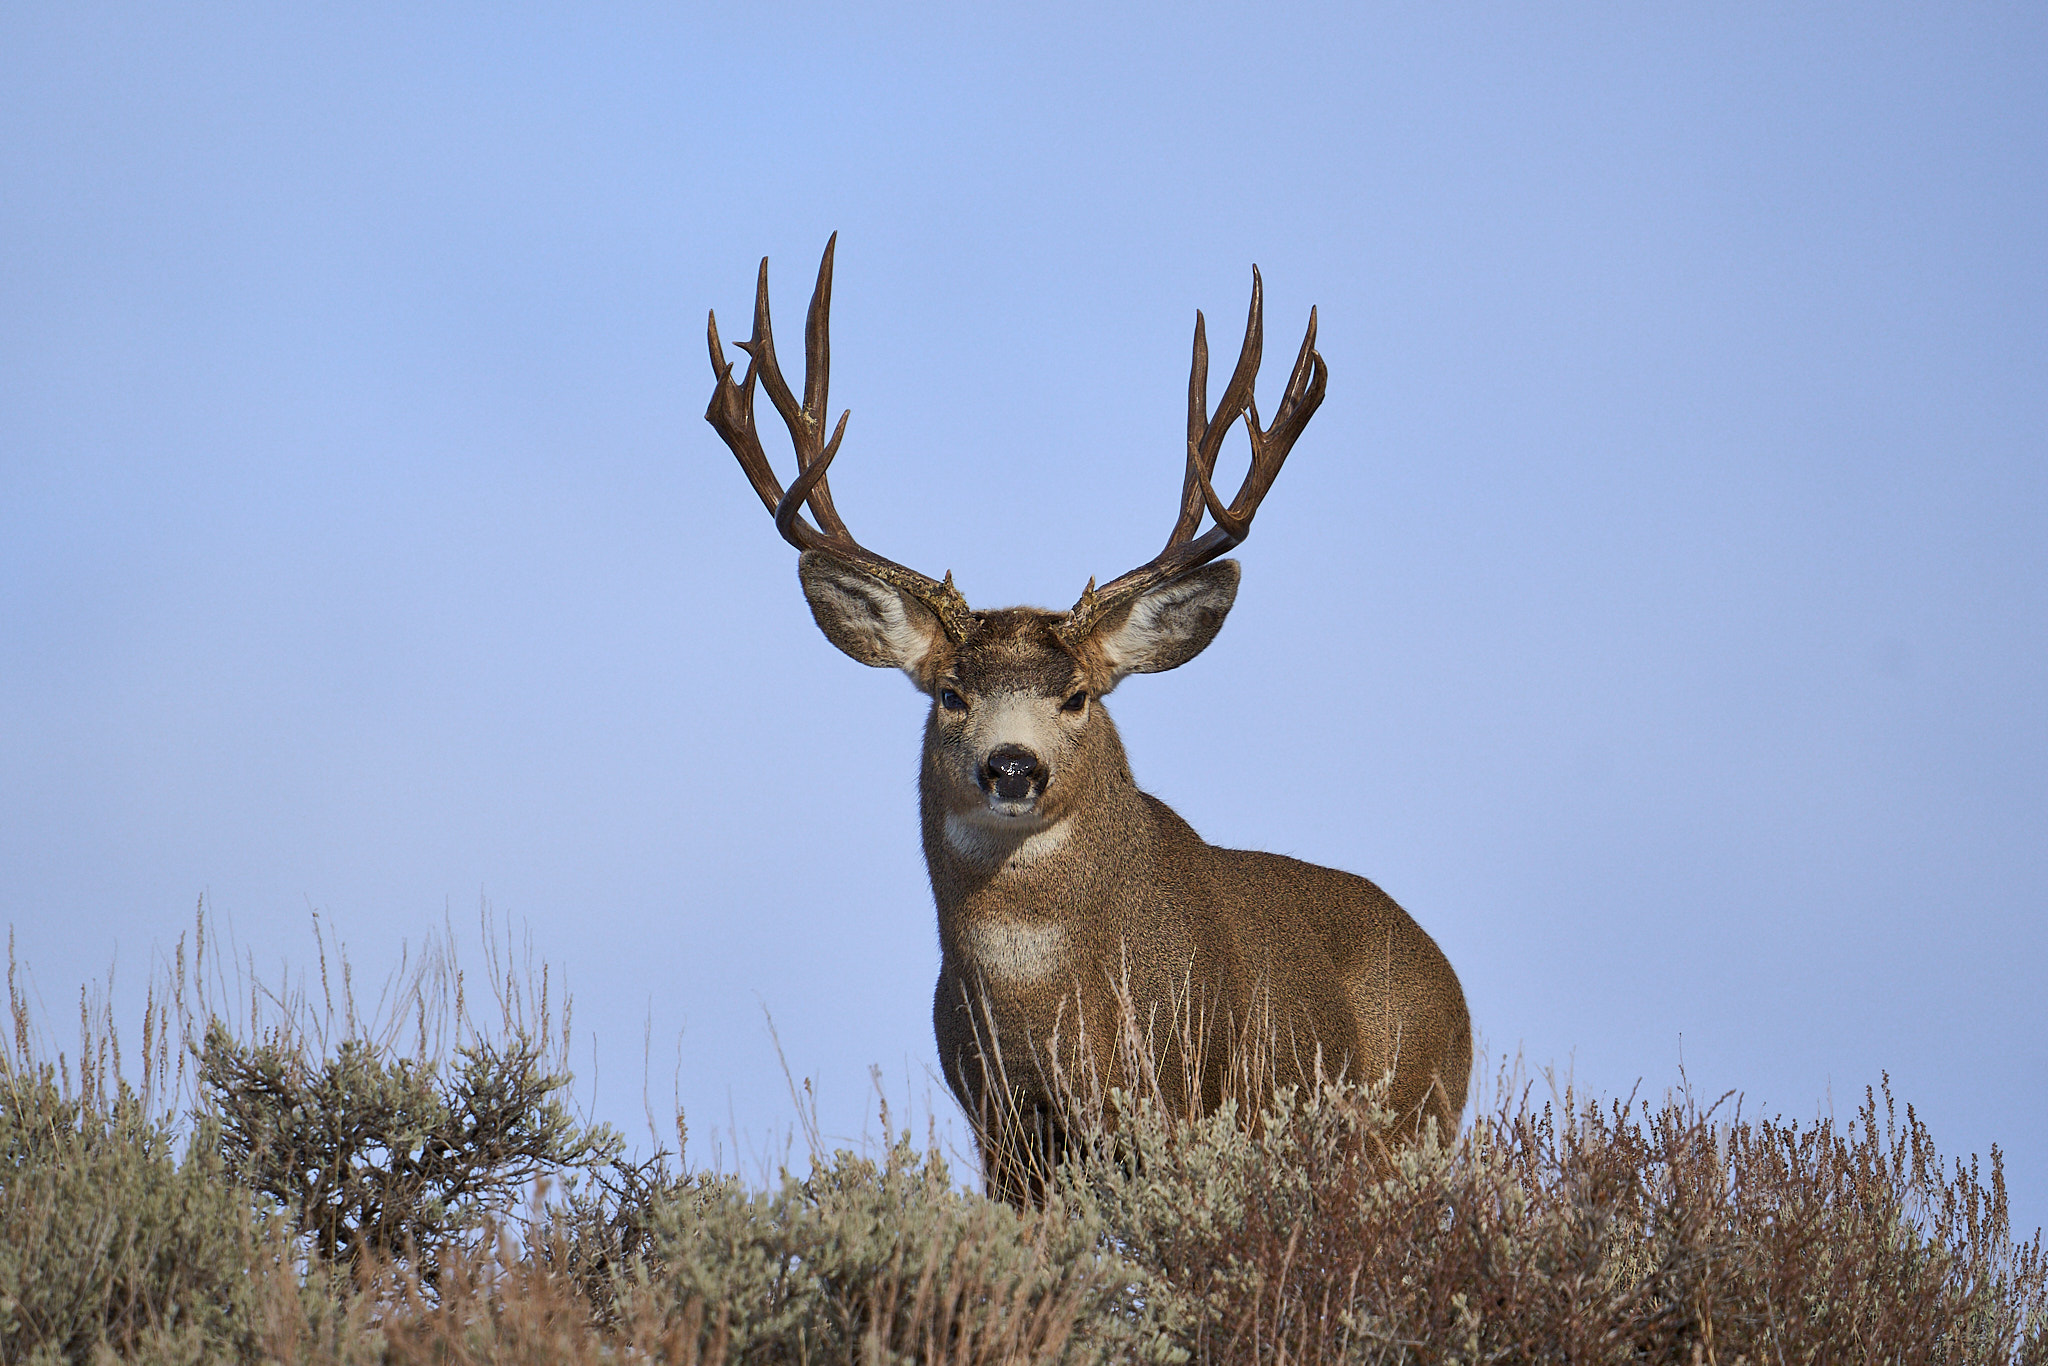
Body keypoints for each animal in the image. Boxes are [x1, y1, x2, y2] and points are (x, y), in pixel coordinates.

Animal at [703, 236, 1471, 1204]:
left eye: (1076, 695)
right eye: (950, 692)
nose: (1012, 766)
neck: (1047, 1007)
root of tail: (1451, 979)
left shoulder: (1182, 1101)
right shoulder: (1004, 1131)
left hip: (1409, 1126)